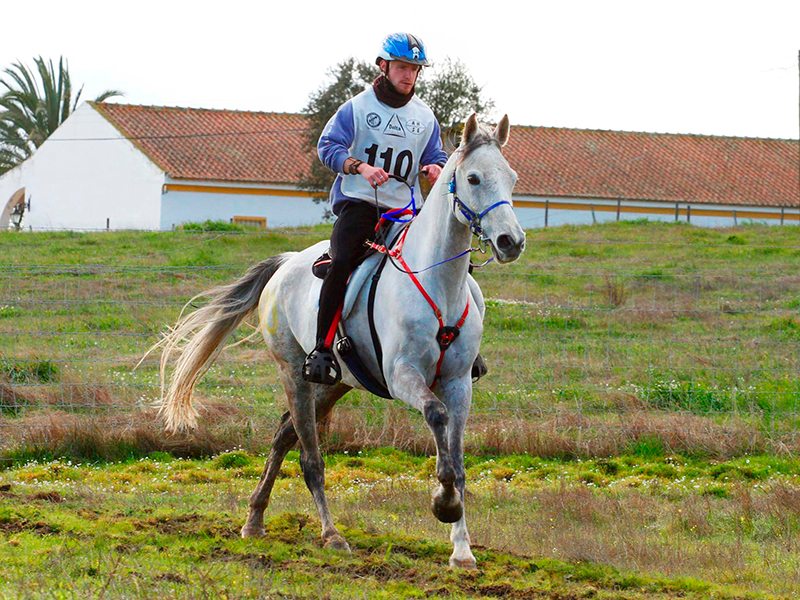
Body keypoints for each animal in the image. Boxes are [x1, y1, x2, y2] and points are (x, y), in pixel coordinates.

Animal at [154, 113, 528, 568]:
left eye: (511, 177)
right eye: (473, 178)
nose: (511, 242)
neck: (438, 281)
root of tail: (285, 264)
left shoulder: (458, 383)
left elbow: (456, 460)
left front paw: (461, 548)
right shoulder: (403, 376)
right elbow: (435, 416)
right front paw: (443, 505)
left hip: (336, 383)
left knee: (284, 434)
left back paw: (255, 520)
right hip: (294, 373)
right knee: (309, 456)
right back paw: (330, 534)